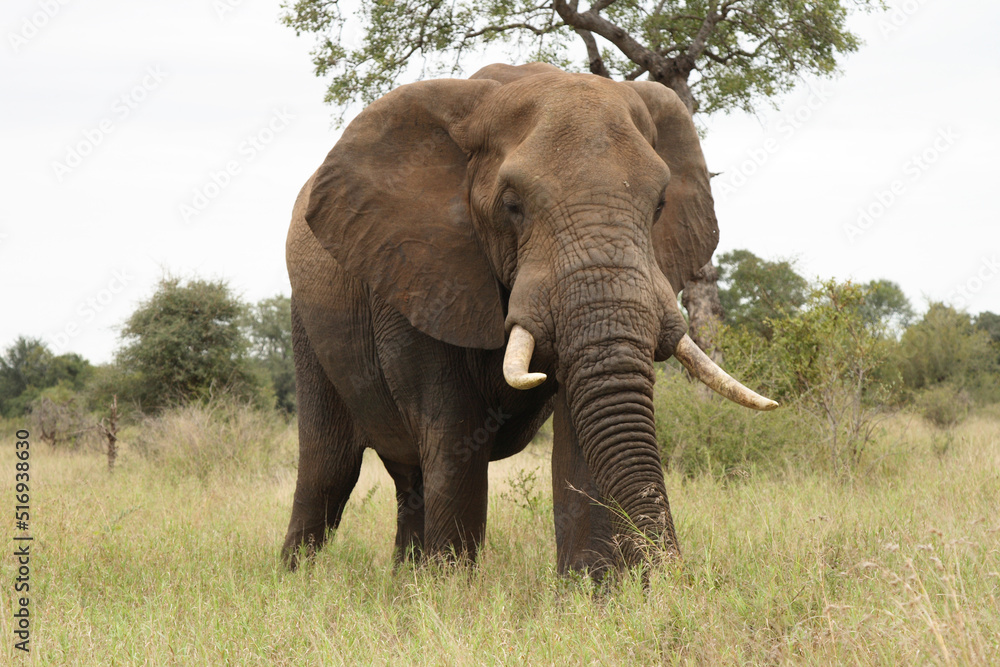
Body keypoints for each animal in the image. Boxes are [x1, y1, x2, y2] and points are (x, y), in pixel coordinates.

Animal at [281, 62, 776, 578]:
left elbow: (580, 430)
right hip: (307, 324)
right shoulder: (419, 275)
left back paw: (404, 580)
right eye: (512, 205)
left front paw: (589, 588)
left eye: (660, 204)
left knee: (408, 476)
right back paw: (298, 580)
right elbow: (454, 433)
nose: (673, 572)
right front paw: (452, 587)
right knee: (329, 467)